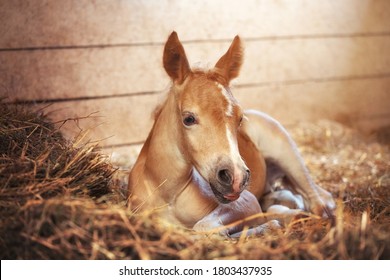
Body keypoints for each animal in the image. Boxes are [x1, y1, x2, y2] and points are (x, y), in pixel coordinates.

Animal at [129, 31, 336, 236]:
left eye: (240, 118)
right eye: (188, 119)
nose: (236, 178)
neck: (168, 192)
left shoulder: (246, 201)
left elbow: (203, 227)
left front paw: (268, 226)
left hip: (288, 154)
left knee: (321, 201)